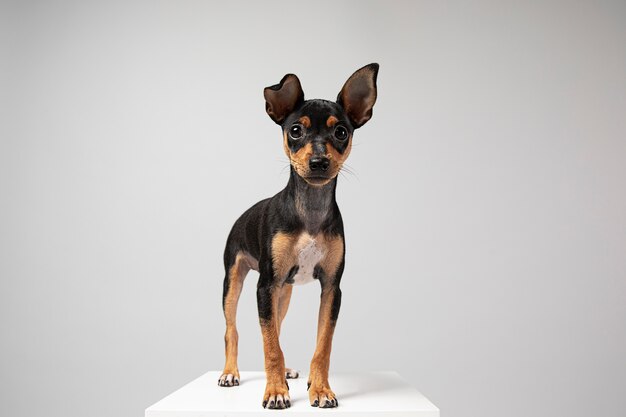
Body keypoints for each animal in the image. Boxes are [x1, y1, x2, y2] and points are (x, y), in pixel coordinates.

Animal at [217, 63, 378, 408]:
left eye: (341, 132)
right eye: (295, 131)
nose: (318, 162)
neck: (310, 213)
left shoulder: (331, 289)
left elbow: (321, 346)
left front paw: (320, 389)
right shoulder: (265, 286)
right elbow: (269, 347)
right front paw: (276, 391)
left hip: (283, 291)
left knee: (275, 328)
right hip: (235, 283)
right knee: (232, 330)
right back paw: (230, 373)